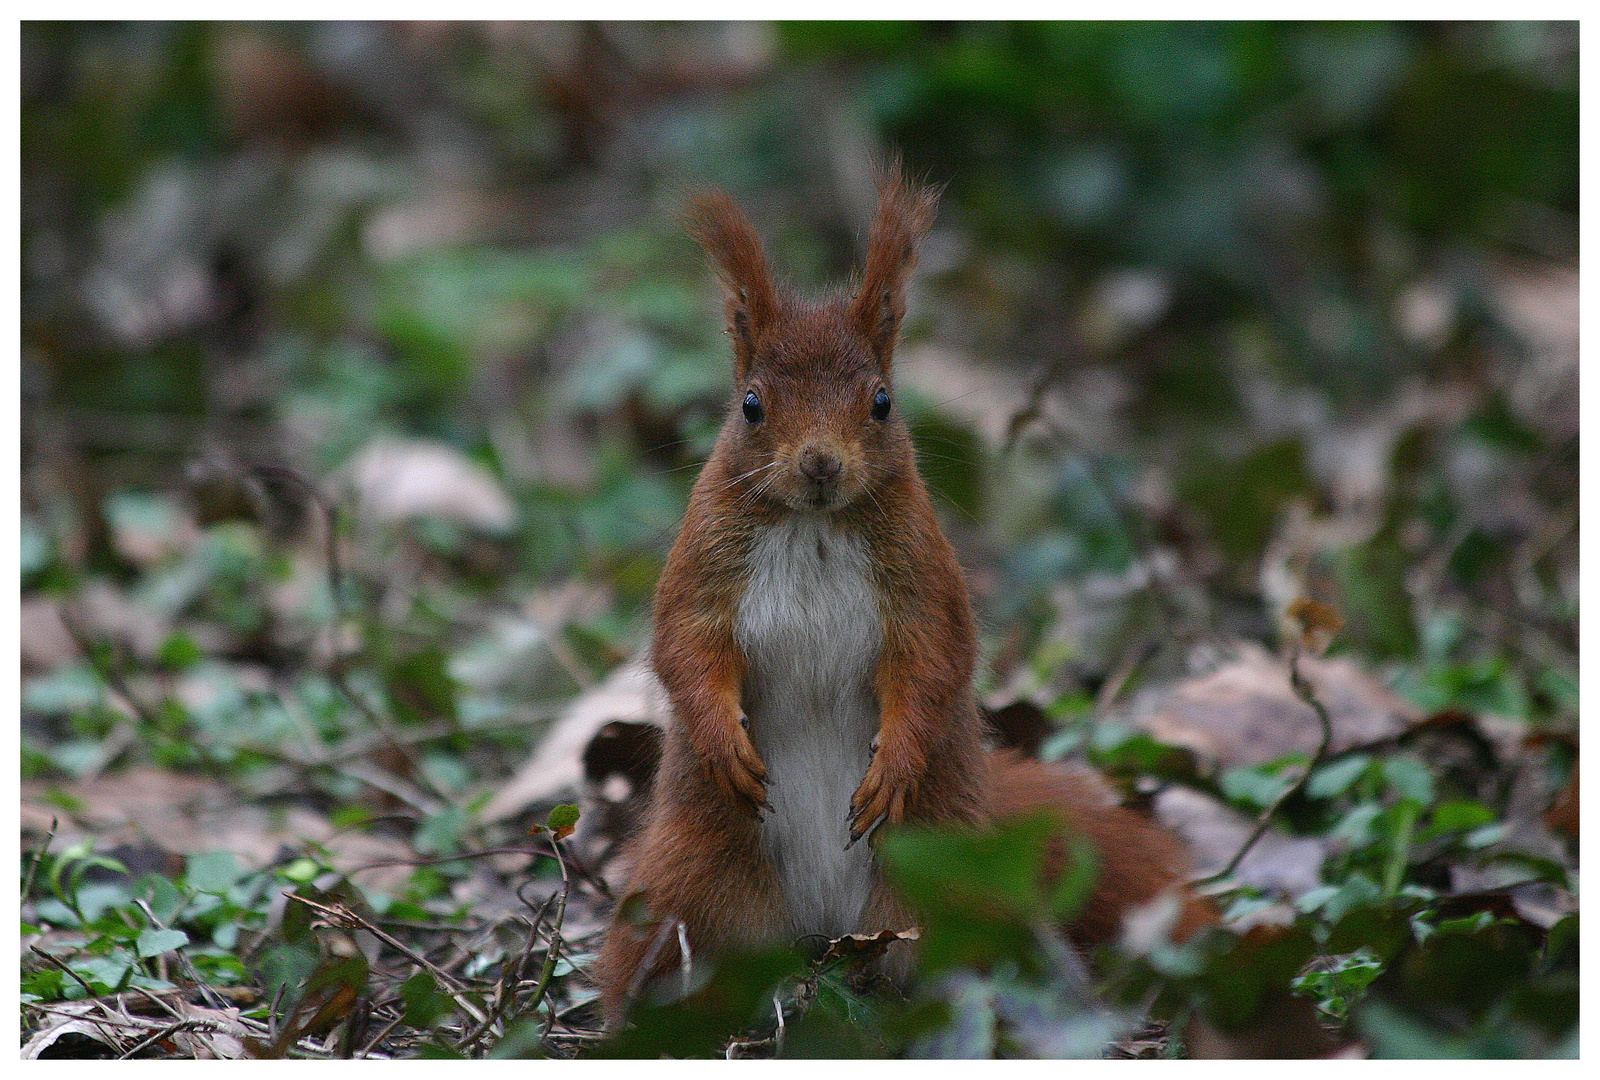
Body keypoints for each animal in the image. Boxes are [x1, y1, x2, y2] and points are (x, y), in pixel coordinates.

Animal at [601, 164, 1209, 1024]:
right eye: (751, 405)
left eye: (882, 401)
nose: (820, 464)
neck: (815, 524)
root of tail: (821, 930)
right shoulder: (703, 569)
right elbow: (686, 648)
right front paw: (724, 742)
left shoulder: (924, 582)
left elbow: (930, 664)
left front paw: (893, 766)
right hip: (685, 877)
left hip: (953, 883)